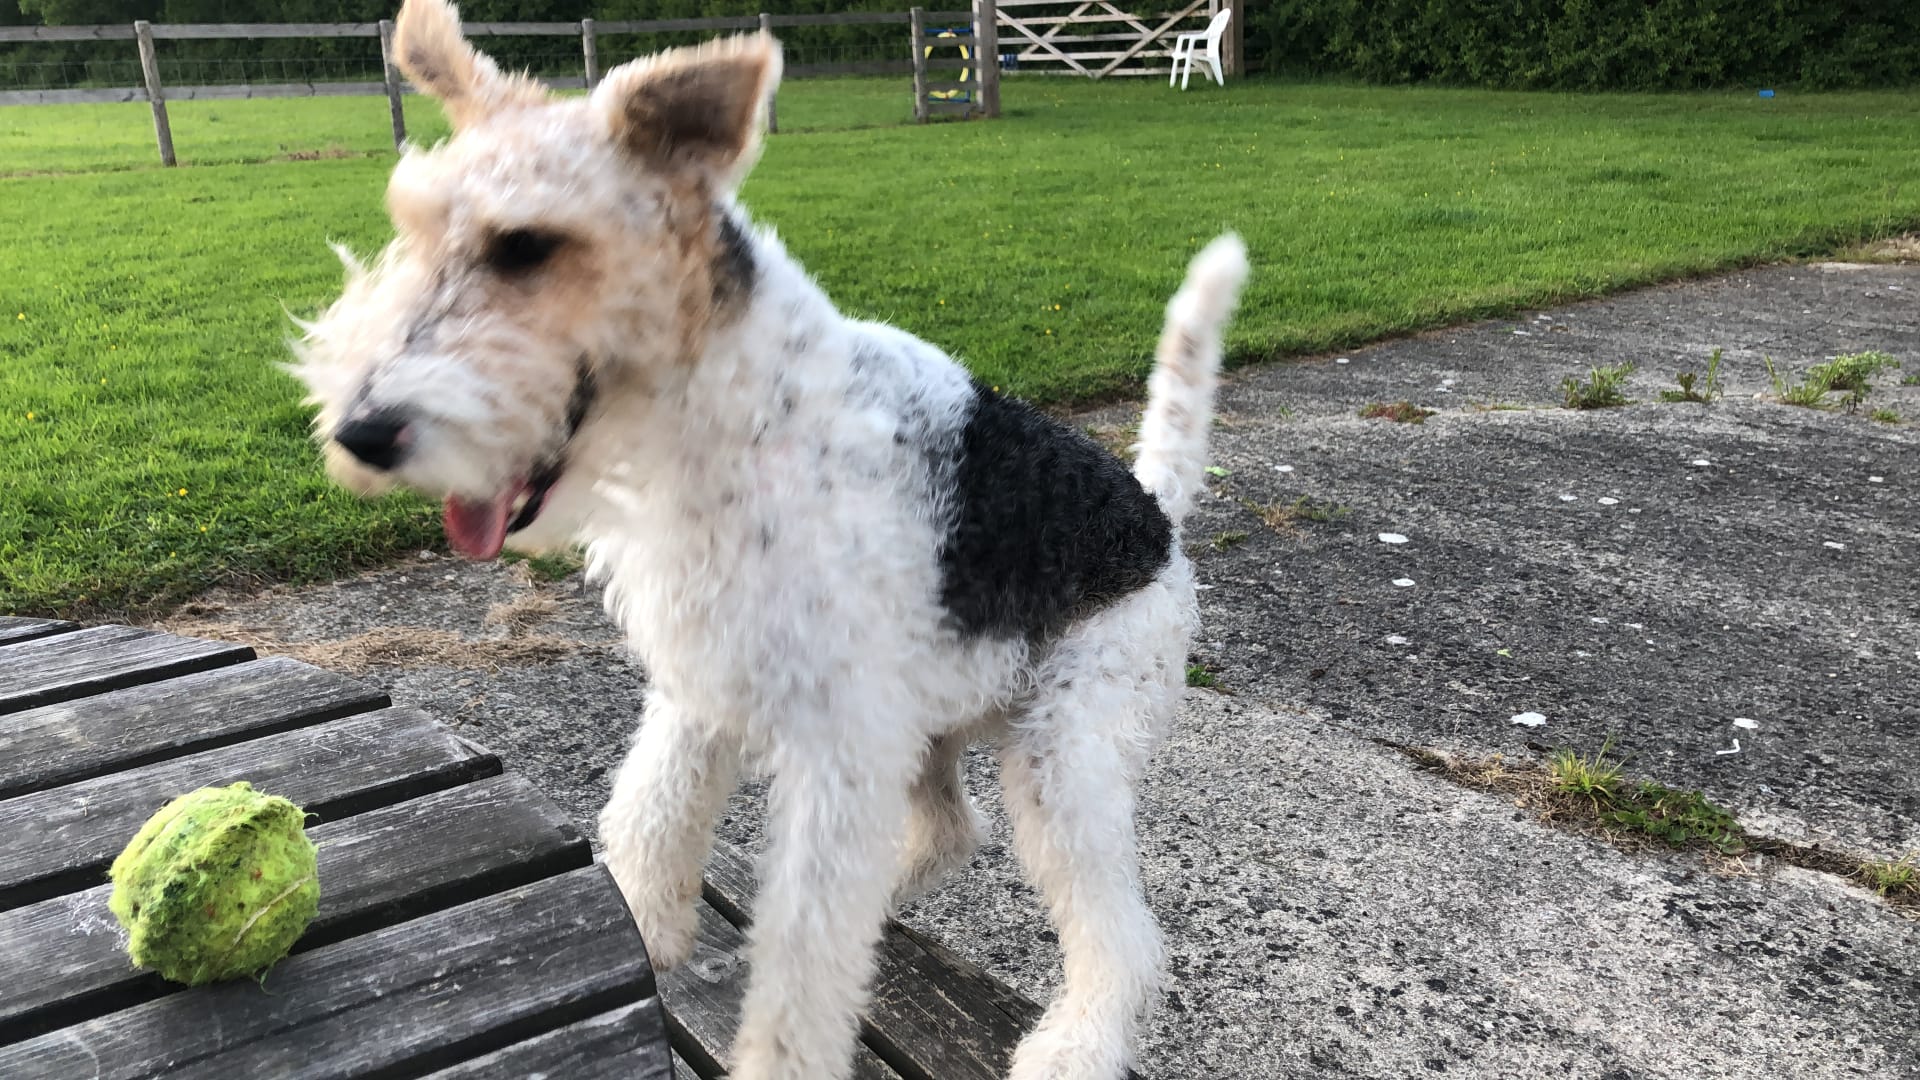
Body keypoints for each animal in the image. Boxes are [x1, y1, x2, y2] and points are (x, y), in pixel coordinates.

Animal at [293, 2, 1248, 1075]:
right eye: (409, 226)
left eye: (525, 246)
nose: (361, 434)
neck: (733, 416)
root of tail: (1154, 517)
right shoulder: (710, 679)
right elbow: (652, 817)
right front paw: (643, 929)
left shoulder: (835, 748)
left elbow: (801, 963)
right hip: (935, 726)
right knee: (949, 833)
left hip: (1064, 755)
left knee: (1121, 937)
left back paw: (1070, 1046)